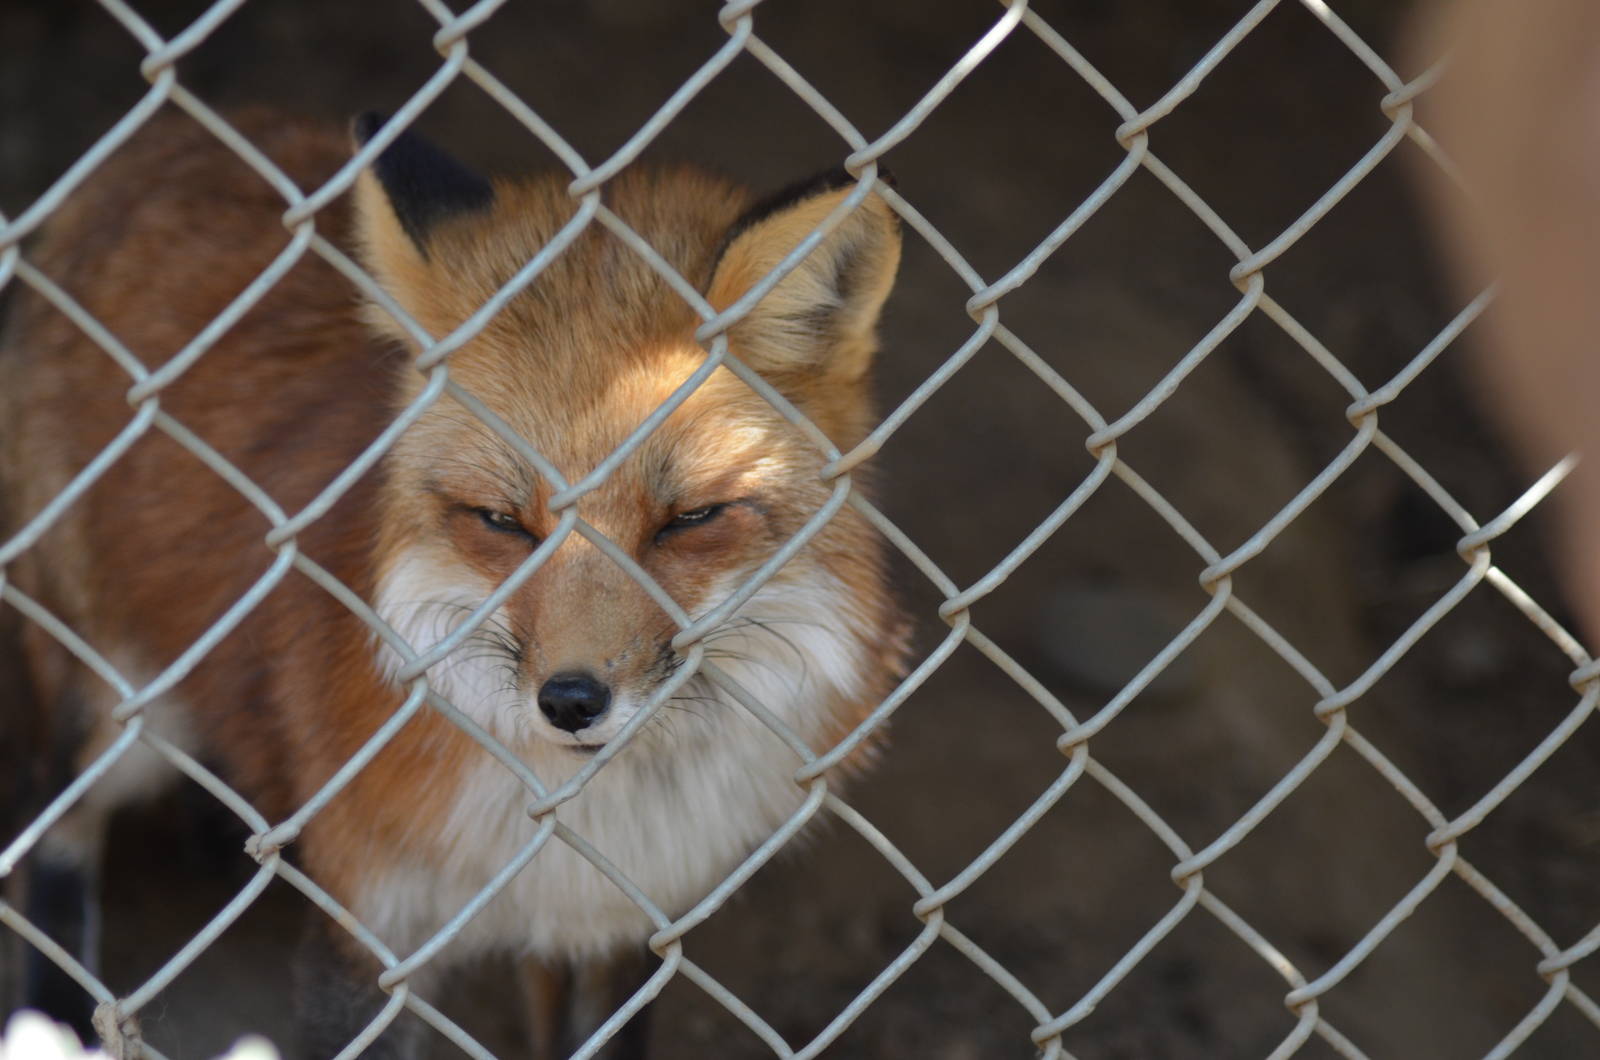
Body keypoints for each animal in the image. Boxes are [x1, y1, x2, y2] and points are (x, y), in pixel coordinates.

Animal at [0, 109, 909, 1058]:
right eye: (501, 521)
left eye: (688, 519)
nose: (571, 701)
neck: (577, 814)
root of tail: (169, 139)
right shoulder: (372, 932)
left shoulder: (617, 922)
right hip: (111, 706)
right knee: (48, 832)